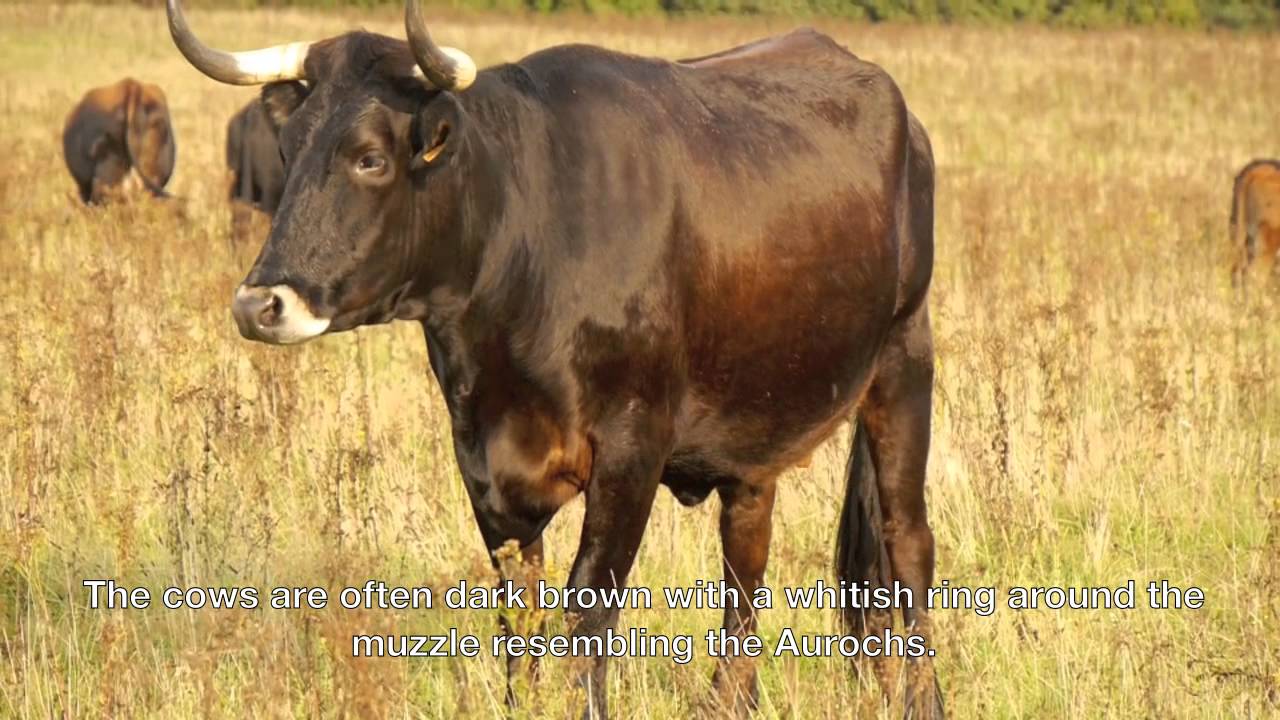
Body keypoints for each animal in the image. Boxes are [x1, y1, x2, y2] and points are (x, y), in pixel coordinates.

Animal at [166, 0, 942, 717]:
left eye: (369, 157)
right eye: (288, 151)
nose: (259, 304)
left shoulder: (632, 449)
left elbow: (588, 614)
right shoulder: (481, 459)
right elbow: (521, 623)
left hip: (903, 363)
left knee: (907, 543)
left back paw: (923, 697)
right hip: (758, 417)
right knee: (745, 560)